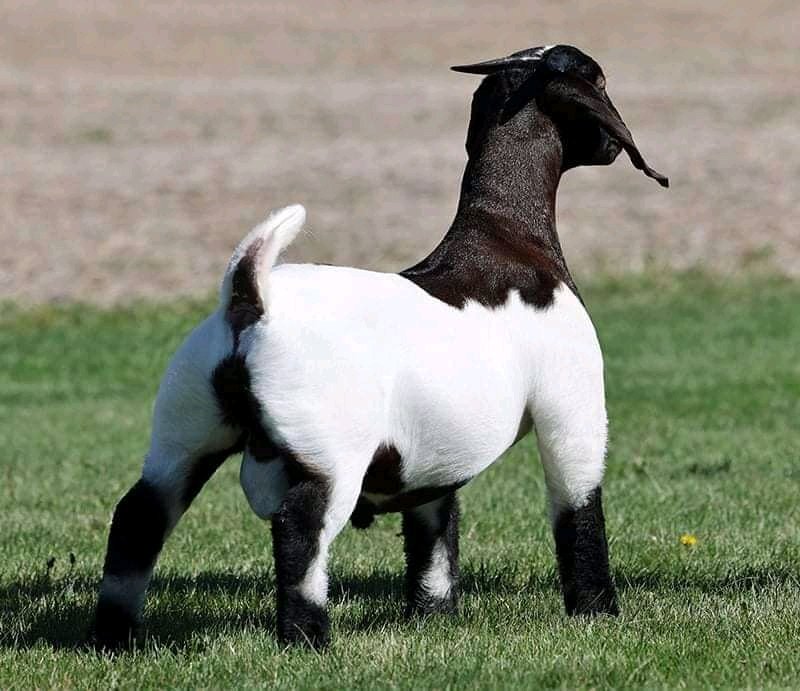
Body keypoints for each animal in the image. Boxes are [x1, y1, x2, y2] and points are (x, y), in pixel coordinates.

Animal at [92, 44, 668, 650]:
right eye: (598, 78)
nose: (612, 146)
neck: (507, 238)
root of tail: (249, 297)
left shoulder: (434, 458)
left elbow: (434, 541)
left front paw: (434, 619)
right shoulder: (572, 414)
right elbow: (579, 516)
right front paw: (598, 613)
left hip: (183, 437)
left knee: (138, 519)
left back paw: (113, 637)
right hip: (331, 458)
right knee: (300, 531)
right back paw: (308, 638)